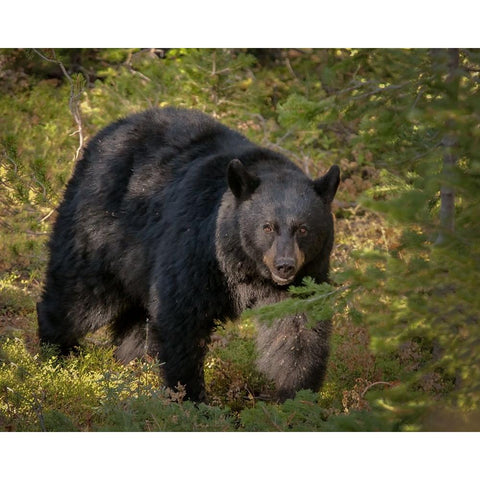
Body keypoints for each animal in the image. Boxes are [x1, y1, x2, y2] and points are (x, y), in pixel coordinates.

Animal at [37, 108, 340, 402]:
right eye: (267, 227)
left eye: (303, 228)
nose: (284, 266)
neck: (243, 266)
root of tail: (105, 133)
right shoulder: (195, 250)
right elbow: (181, 317)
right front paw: (190, 398)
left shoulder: (305, 277)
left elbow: (297, 332)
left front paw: (295, 397)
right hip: (99, 232)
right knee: (77, 299)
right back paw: (55, 359)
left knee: (136, 322)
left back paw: (132, 368)